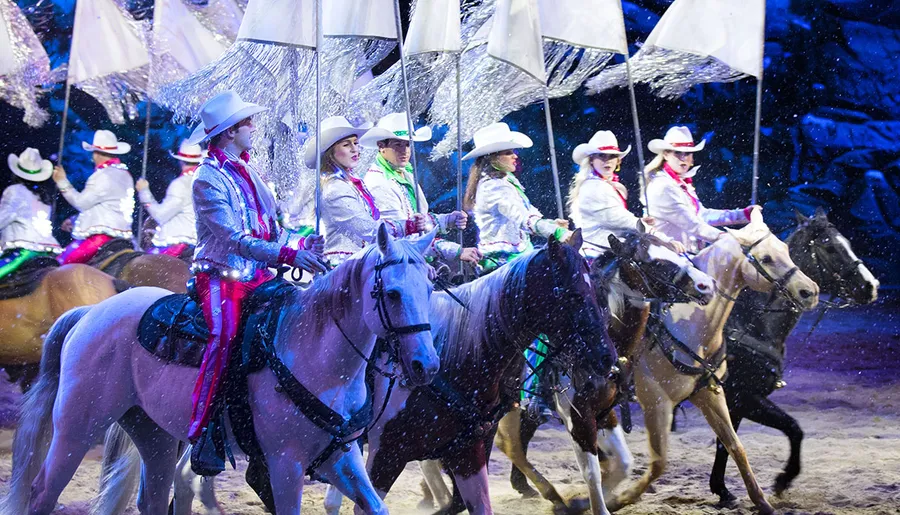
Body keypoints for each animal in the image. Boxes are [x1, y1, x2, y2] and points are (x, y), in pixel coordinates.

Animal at [1, 227, 442, 515]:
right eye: (392, 293)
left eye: (430, 287)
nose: (427, 364)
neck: (315, 356)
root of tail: (91, 313)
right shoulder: (284, 464)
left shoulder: (342, 458)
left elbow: (376, 505)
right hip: (78, 427)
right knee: (42, 494)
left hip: (153, 433)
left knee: (153, 497)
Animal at [326, 233, 616, 515]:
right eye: (574, 294)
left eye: (598, 292)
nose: (608, 357)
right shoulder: (386, 455)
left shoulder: (469, 452)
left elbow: (465, 503)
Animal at [496, 232, 712, 512]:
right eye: (653, 262)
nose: (706, 285)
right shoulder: (578, 416)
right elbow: (592, 472)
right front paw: (594, 503)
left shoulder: (605, 411)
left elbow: (623, 463)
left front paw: (597, 500)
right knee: (508, 444)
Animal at [604, 208, 824, 512]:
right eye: (766, 258)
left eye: (786, 250)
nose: (809, 291)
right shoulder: (660, 401)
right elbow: (660, 462)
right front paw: (620, 498)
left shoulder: (712, 393)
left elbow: (735, 445)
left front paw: (759, 500)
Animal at [712, 208, 880, 506]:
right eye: (830, 247)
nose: (871, 286)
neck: (749, 323)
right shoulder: (744, 396)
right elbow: (792, 428)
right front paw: (783, 479)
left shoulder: (737, 402)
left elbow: (727, 443)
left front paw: (722, 490)